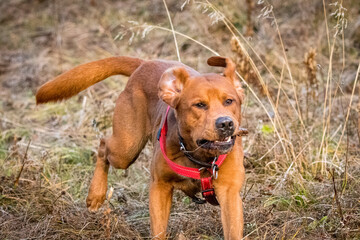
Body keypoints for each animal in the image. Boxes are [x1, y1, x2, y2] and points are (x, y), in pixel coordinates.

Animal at [35, 56, 245, 238]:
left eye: (229, 101)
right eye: (199, 105)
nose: (226, 123)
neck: (199, 156)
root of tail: (145, 63)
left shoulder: (229, 194)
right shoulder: (159, 187)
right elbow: (158, 230)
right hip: (126, 148)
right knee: (103, 145)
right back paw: (96, 194)